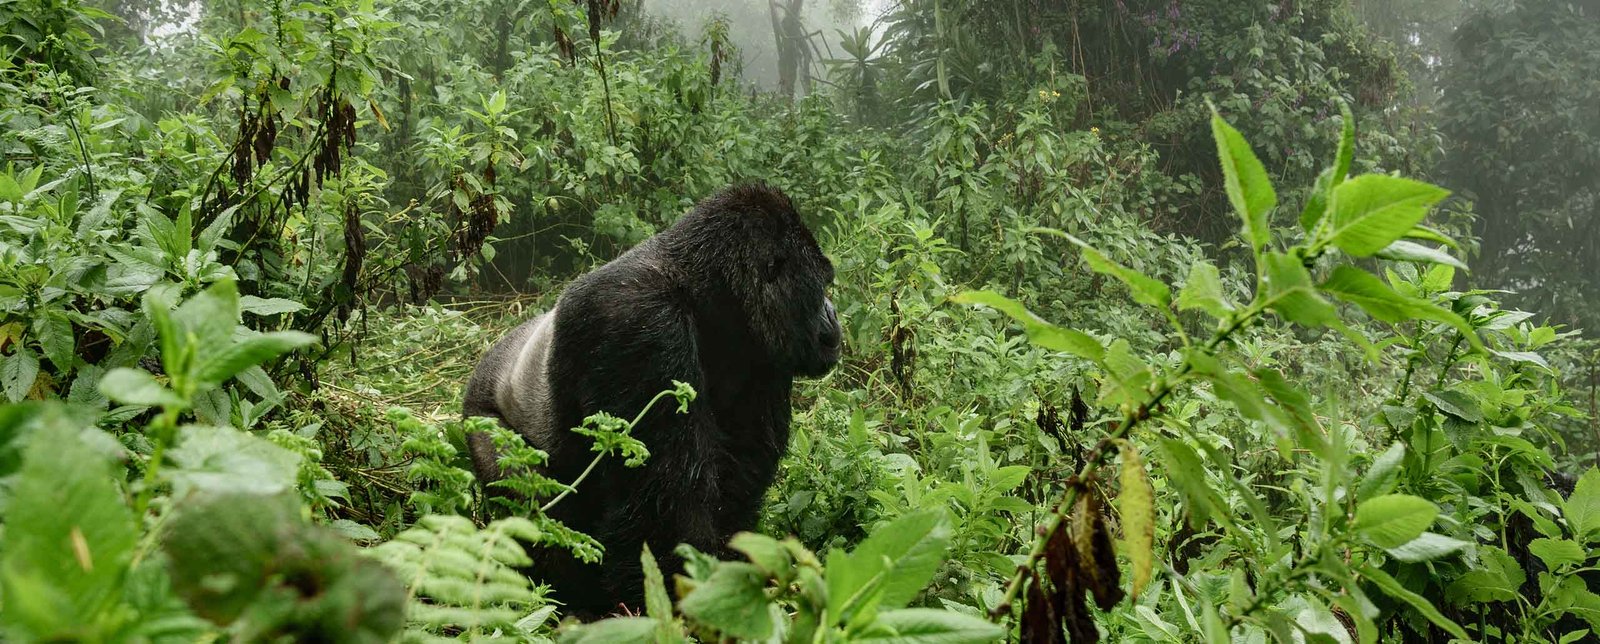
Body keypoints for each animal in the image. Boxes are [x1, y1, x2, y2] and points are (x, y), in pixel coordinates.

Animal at [462, 183, 841, 618]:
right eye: (823, 287)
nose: (834, 316)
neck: (702, 290)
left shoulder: (764, 355)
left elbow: (735, 485)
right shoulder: (639, 323)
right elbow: (666, 499)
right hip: (483, 420)